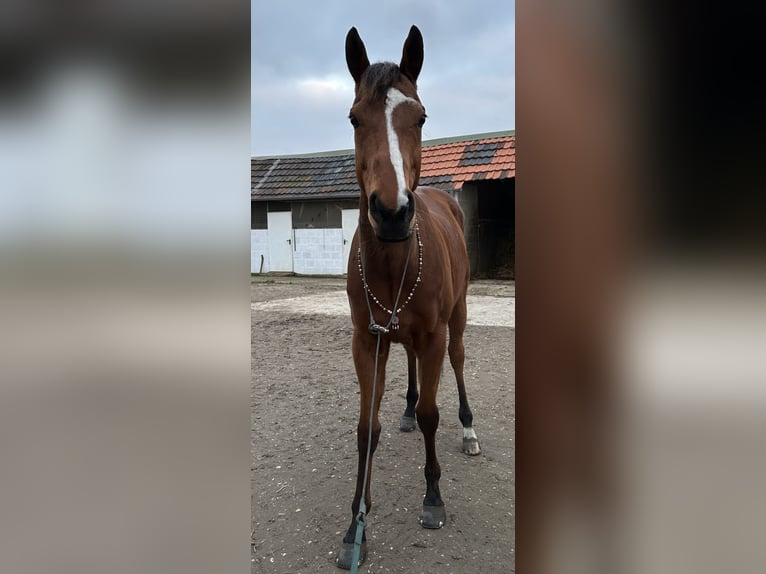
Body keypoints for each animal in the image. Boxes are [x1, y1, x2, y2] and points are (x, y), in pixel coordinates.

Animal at [340, 25, 484, 572]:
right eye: (355, 117)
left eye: (420, 116)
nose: (391, 213)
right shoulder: (367, 341)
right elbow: (367, 427)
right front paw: (355, 522)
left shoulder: (435, 334)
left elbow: (431, 415)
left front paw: (433, 498)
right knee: (410, 371)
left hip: (456, 321)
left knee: (458, 365)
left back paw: (468, 431)